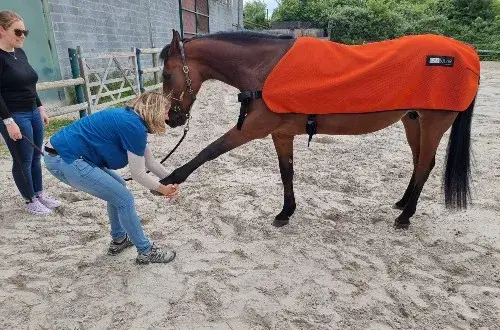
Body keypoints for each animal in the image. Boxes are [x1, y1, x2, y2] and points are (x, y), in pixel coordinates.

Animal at [160, 29, 480, 229]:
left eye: (166, 75)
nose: (171, 120)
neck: (266, 69)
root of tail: (466, 53)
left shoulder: (252, 128)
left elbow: (209, 151)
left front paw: (169, 179)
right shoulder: (281, 133)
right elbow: (286, 172)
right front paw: (286, 212)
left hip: (433, 123)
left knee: (425, 164)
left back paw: (406, 217)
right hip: (412, 120)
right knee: (419, 162)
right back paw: (402, 204)